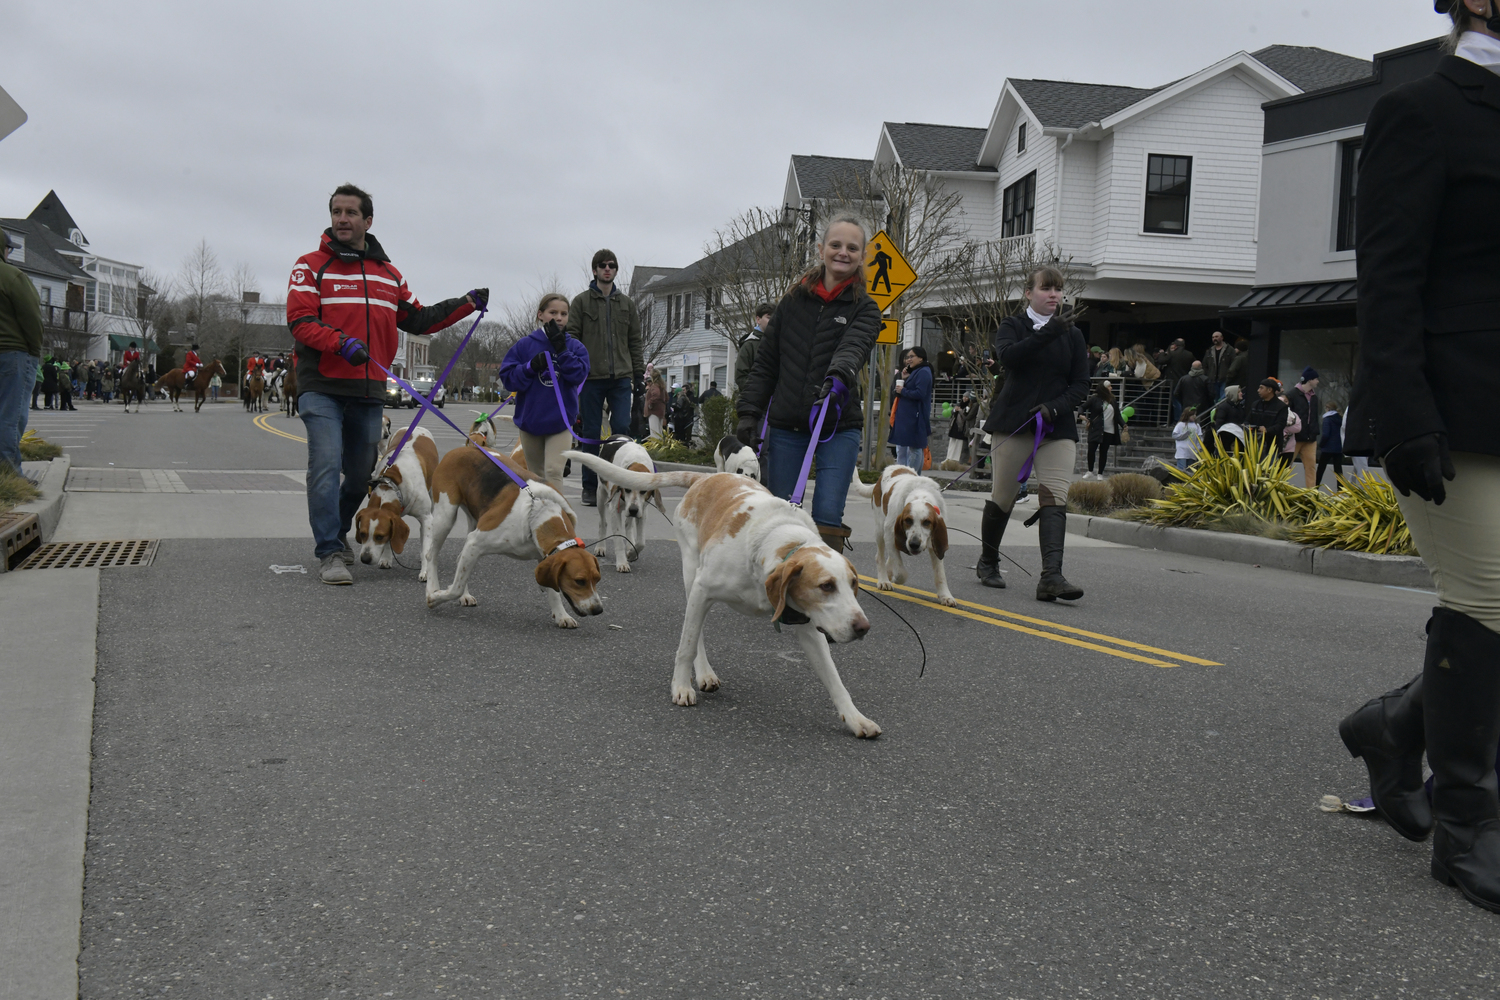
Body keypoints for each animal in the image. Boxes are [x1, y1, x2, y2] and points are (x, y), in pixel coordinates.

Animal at [352, 425, 438, 575]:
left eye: (379, 537)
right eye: (362, 534)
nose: (365, 559)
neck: (392, 483)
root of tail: (417, 426)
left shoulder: (426, 517)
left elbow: (426, 546)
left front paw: (425, 572)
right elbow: (391, 539)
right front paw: (386, 558)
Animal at [423, 443, 603, 626]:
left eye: (597, 579)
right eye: (579, 581)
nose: (598, 610)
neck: (540, 511)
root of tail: (461, 448)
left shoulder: (545, 555)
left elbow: (553, 591)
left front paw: (561, 615)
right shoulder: (475, 543)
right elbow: (455, 589)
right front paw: (435, 598)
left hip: (473, 519)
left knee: (460, 560)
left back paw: (465, 596)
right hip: (446, 517)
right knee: (431, 555)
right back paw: (432, 588)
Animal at [567, 449, 882, 740]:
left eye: (853, 584)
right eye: (826, 586)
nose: (864, 628)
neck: (773, 542)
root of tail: (704, 478)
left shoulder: (806, 623)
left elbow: (834, 679)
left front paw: (856, 718)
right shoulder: (703, 589)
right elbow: (687, 645)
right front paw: (680, 686)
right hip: (691, 575)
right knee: (695, 635)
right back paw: (702, 673)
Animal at [591, 434, 669, 569]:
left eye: (644, 491)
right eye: (626, 489)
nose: (633, 510)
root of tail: (615, 435)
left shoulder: (642, 510)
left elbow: (641, 542)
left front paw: (632, 553)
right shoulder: (614, 510)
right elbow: (618, 539)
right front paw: (622, 562)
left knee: (628, 525)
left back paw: (630, 545)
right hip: (600, 495)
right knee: (603, 522)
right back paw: (600, 547)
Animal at [858, 464, 948, 611]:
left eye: (927, 522)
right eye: (908, 520)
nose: (914, 544)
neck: (920, 494)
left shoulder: (935, 545)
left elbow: (940, 574)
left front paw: (946, 596)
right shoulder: (890, 535)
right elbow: (901, 572)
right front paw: (894, 578)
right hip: (880, 530)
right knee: (880, 557)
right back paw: (884, 580)